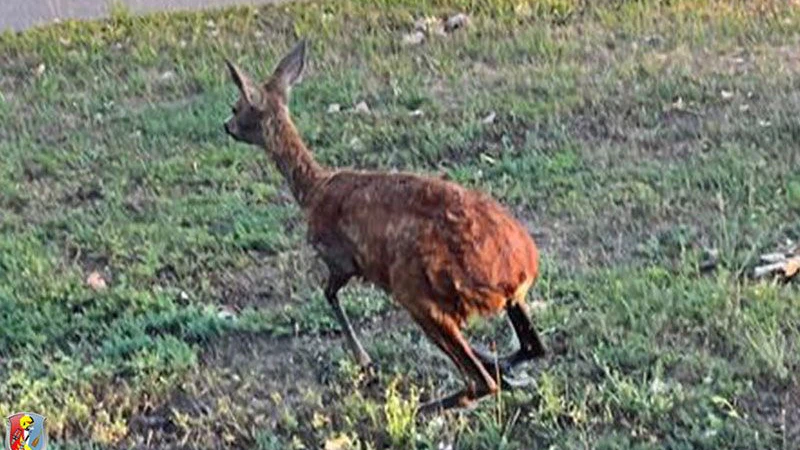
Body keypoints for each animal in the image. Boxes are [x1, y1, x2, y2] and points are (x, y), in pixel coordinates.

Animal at [222, 40, 547, 414]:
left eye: (236, 106)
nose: (226, 126)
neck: (313, 190)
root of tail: (520, 270)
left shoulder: (342, 259)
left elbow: (328, 293)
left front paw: (364, 361)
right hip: (505, 300)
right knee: (532, 347)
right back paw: (500, 366)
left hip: (416, 291)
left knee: (481, 381)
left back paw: (427, 405)